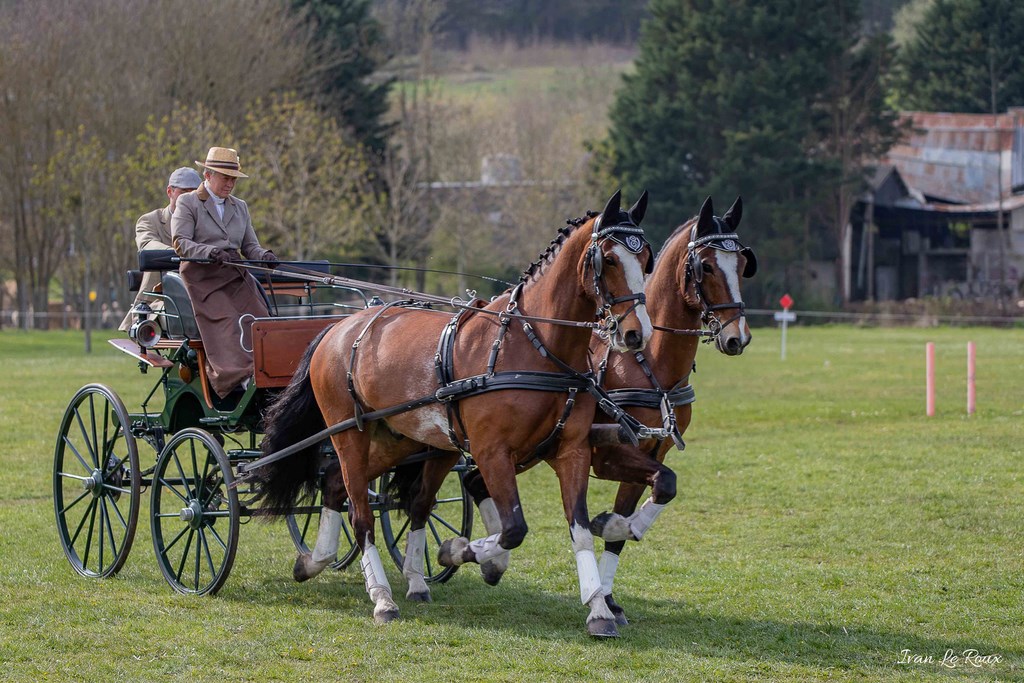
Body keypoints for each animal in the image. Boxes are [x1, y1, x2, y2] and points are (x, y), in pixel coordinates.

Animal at [256, 191, 655, 634]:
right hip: (349, 436)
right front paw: (456, 550)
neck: (534, 344)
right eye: (610, 259)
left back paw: (322, 563)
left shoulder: (571, 451)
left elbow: (580, 530)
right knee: (360, 514)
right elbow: (514, 529)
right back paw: (382, 598)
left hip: (401, 439)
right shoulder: (491, 452)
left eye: (646, 258)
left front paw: (599, 609)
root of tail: (337, 328)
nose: (636, 334)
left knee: (349, 489)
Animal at [468, 193, 757, 626]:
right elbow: (658, 489)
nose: (738, 337)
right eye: (705, 266)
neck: (647, 363)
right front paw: (612, 528)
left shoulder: (654, 452)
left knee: (475, 482)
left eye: (741, 264)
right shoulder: (607, 454)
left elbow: (662, 489)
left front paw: (609, 583)